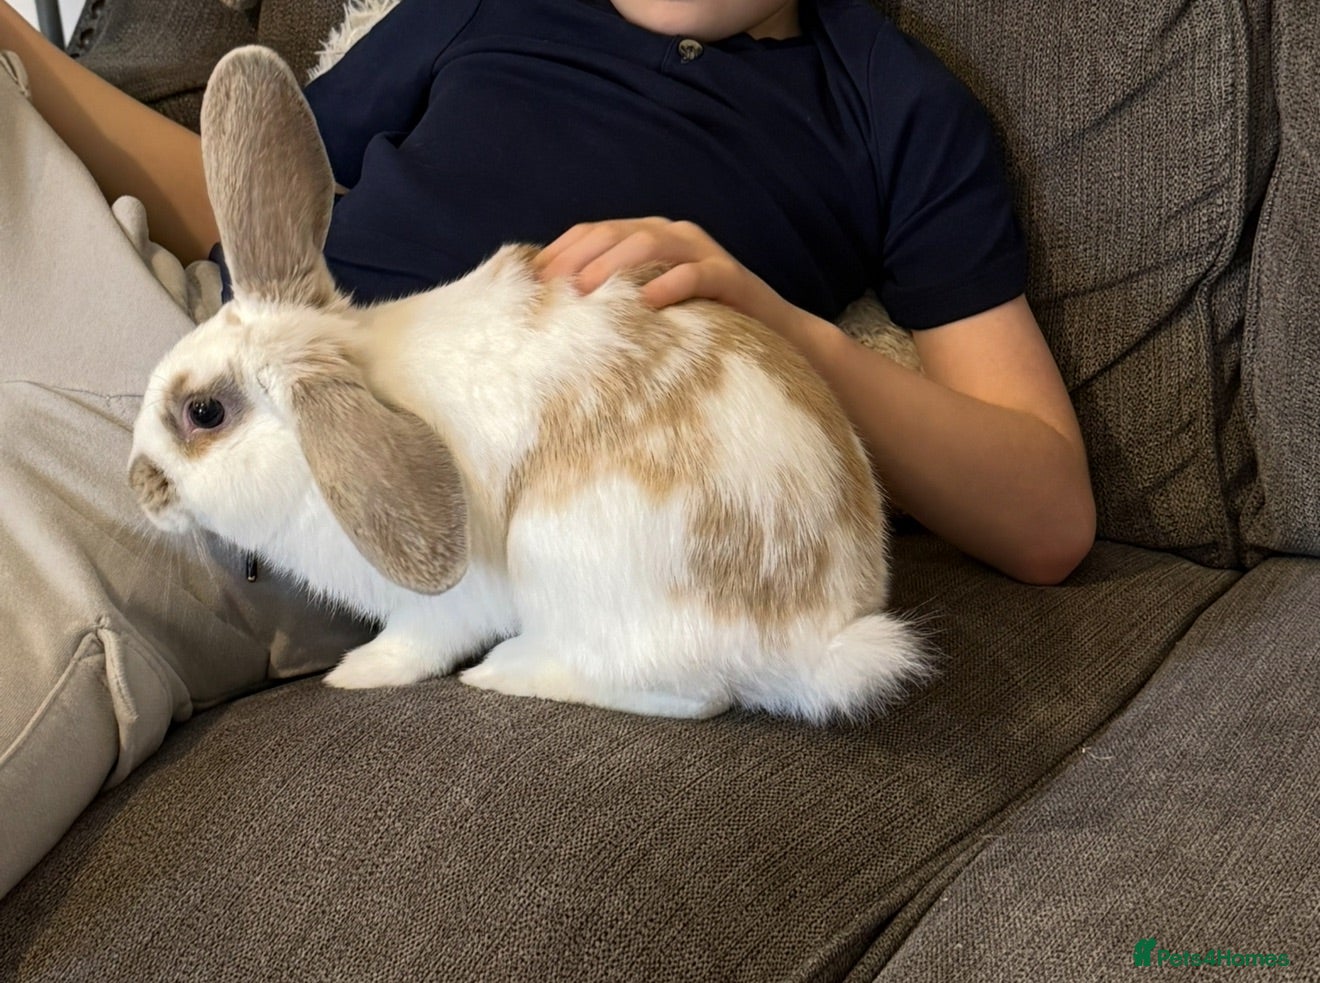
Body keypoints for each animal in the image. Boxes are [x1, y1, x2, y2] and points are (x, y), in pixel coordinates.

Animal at [128, 45, 927, 722]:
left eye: (205, 412)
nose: (139, 485)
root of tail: (818, 640)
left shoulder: (442, 605)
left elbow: (417, 643)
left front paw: (355, 673)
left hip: (565, 562)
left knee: (686, 694)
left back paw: (507, 670)